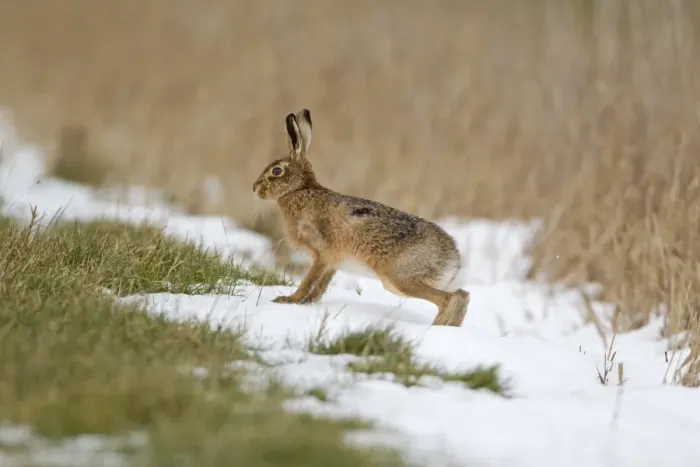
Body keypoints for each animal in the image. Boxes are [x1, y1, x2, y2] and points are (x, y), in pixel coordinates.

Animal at [252, 109, 469, 327]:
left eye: (276, 171)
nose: (255, 188)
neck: (299, 190)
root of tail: (454, 258)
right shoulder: (332, 262)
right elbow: (320, 287)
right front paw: (308, 303)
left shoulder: (322, 253)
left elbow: (309, 281)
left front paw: (289, 300)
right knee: (462, 294)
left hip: (399, 278)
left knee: (450, 299)